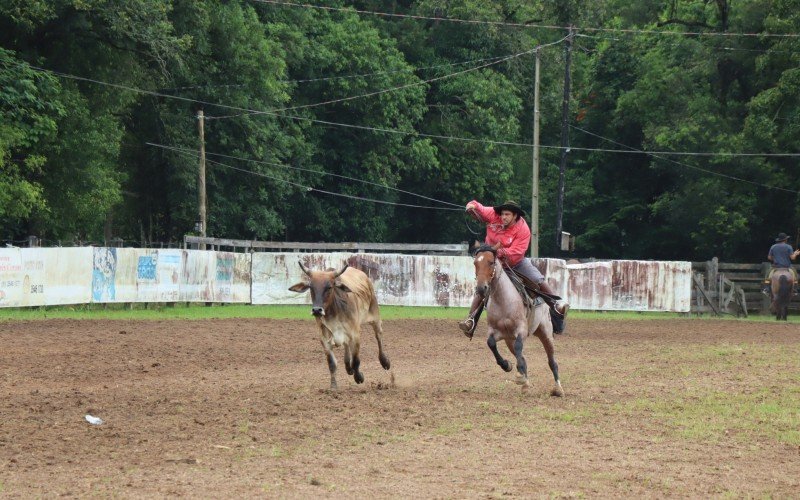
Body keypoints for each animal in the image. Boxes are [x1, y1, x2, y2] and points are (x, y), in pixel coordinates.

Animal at [476, 244, 564, 396]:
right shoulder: (496, 331)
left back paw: (557, 388)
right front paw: (507, 365)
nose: (481, 288)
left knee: (552, 361)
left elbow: (519, 348)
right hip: (509, 340)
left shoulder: (521, 331)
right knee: (522, 357)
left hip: (545, 333)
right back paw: (525, 384)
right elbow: (491, 343)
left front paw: (519, 376)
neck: (503, 301)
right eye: (475, 263)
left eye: (491, 262)